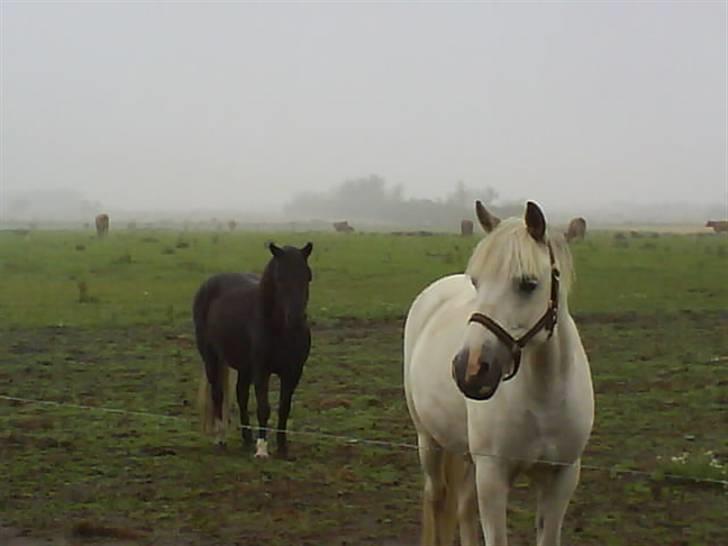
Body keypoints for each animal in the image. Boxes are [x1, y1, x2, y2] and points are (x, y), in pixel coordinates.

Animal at [196, 242, 312, 454]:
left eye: (307, 276)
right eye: (280, 278)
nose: (296, 318)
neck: (279, 328)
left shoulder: (293, 372)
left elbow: (284, 408)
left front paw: (282, 449)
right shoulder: (261, 370)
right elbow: (263, 408)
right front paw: (262, 450)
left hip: (244, 367)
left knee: (241, 395)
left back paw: (247, 438)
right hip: (211, 358)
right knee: (218, 394)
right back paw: (220, 438)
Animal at [404, 201, 596, 544]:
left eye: (528, 284)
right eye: (477, 282)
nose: (469, 369)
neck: (543, 396)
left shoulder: (562, 477)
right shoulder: (492, 477)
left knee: (463, 507)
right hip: (429, 442)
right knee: (437, 498)